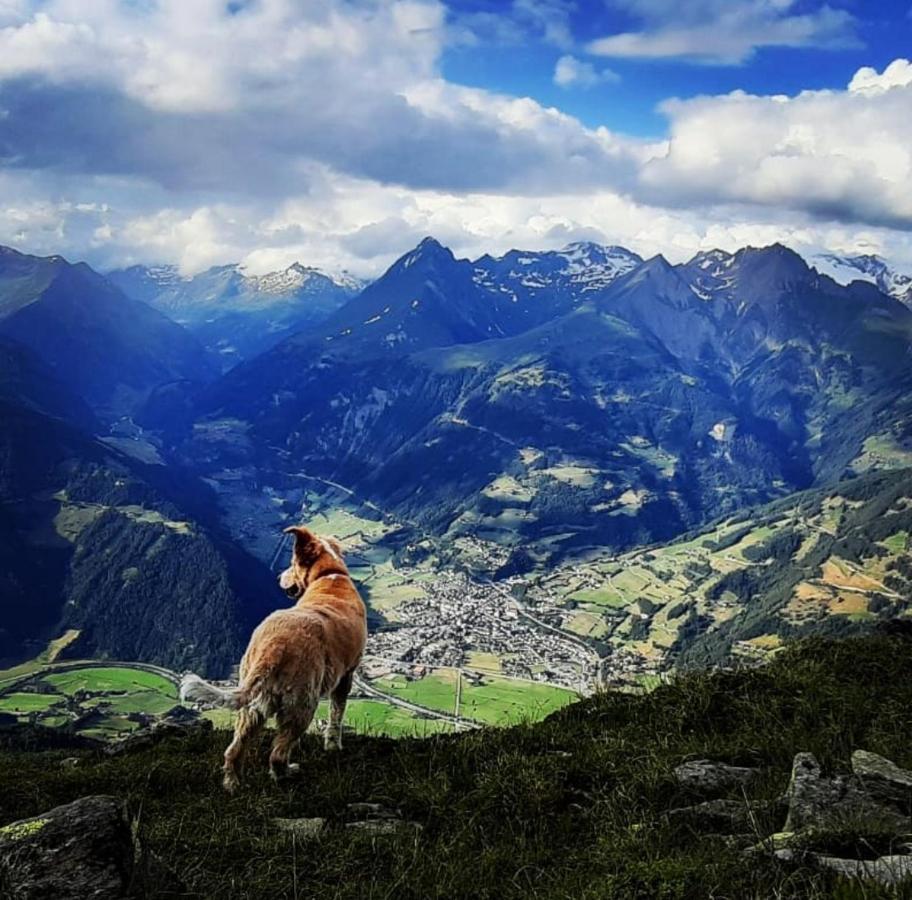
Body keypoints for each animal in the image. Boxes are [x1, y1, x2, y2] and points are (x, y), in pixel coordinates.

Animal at [180, 524, 366, 792]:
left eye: (291, 563)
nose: (278, 577)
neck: (329, 575)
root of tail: (274, 646)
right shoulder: (346, 676)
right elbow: (336, 714)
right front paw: (333, 745)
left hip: (253, 705)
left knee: (234, 749)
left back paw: (233, 783)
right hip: (302, 702)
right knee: (277, 754)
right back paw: (286, 774)